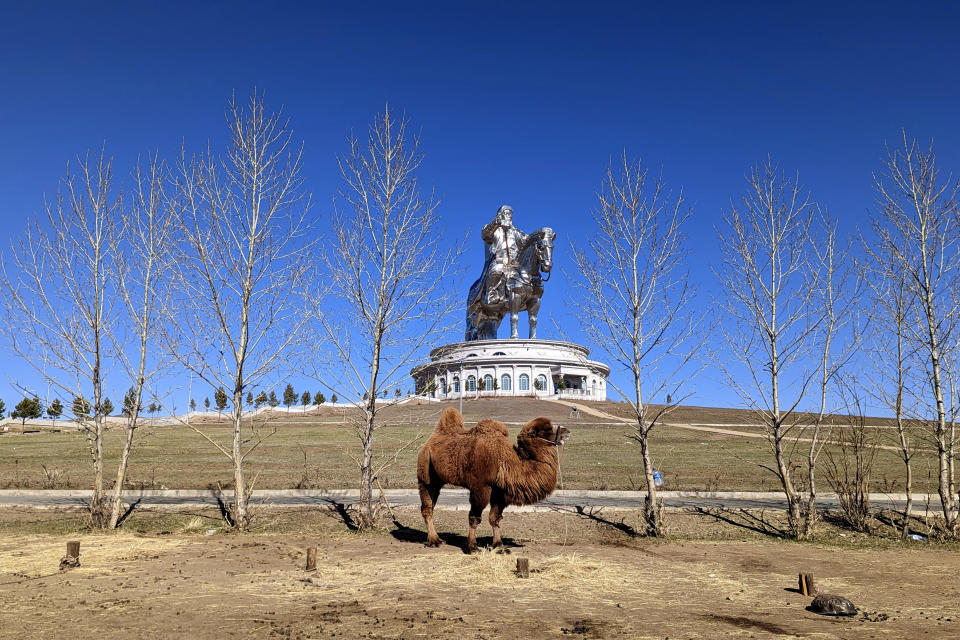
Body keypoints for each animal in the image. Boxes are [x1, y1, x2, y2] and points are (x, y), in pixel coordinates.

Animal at [416, 408, 568, 552]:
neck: (507, 460)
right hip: (426, 476)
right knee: (427, 508)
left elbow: (494, 518)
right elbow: (475, 518)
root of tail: (430, 441)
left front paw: (499, 545)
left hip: (437, 479)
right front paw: (472, 547)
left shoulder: (499, 491)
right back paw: (434, 541)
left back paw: (436, 539)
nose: (567, 431)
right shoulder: (481, 487)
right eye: (548, 429)